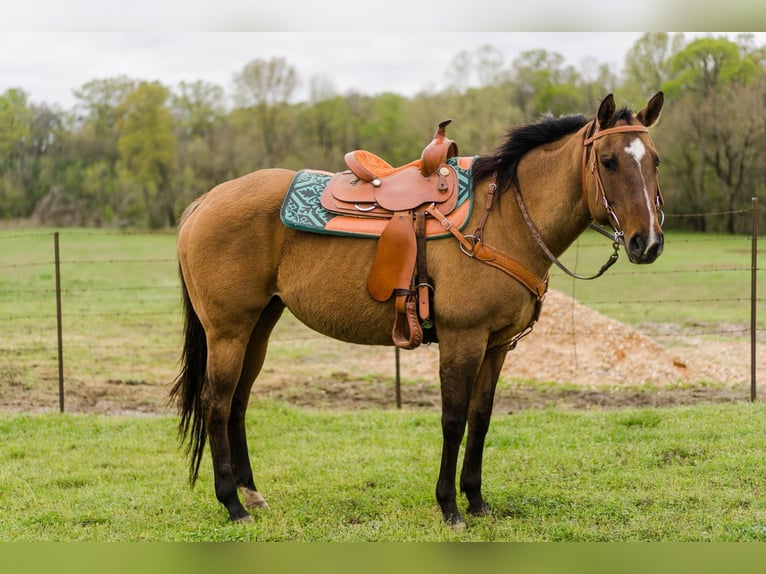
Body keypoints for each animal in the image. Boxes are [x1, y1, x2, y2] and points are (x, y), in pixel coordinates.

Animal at [172, 92, 664, 528]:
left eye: (655, 160)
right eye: (608, 161)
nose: (648, 243)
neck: (502, 220)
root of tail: (203, 203)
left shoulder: (497, 346)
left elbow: (480, 420)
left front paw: (477, 501)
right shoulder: (463, 339)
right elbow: (452, 420)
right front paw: (449, 508)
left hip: (259, 325)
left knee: (238, 401)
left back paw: (251, 494)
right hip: (228, 331)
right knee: (216, 403)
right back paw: (232, 504)